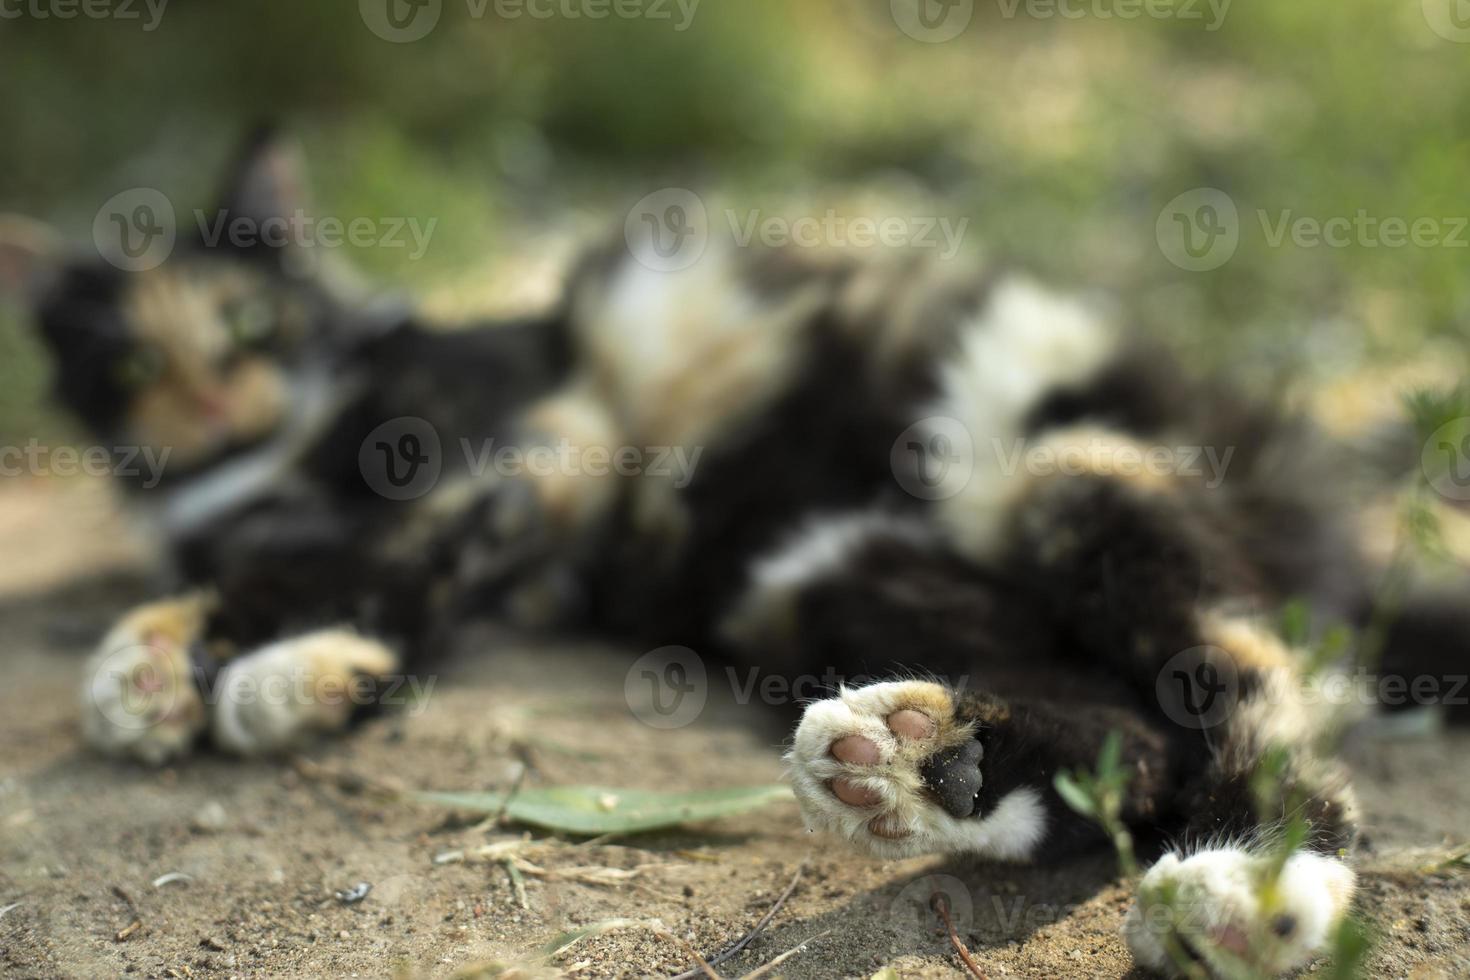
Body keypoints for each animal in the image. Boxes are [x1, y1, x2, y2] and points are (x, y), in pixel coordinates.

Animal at [5, 132, 1464, 980]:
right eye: (129, 362)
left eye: (249, 318)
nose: (212, 399)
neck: (278, 448)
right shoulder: (526, 528)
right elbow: (399, 581)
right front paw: (275, 670)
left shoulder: (538, 438)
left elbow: (397, 541)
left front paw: (186, 657)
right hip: (811, 573)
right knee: (1138, 738)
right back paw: (920, 767)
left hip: (1065, 467)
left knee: (1259, 693)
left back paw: (1252, 880)